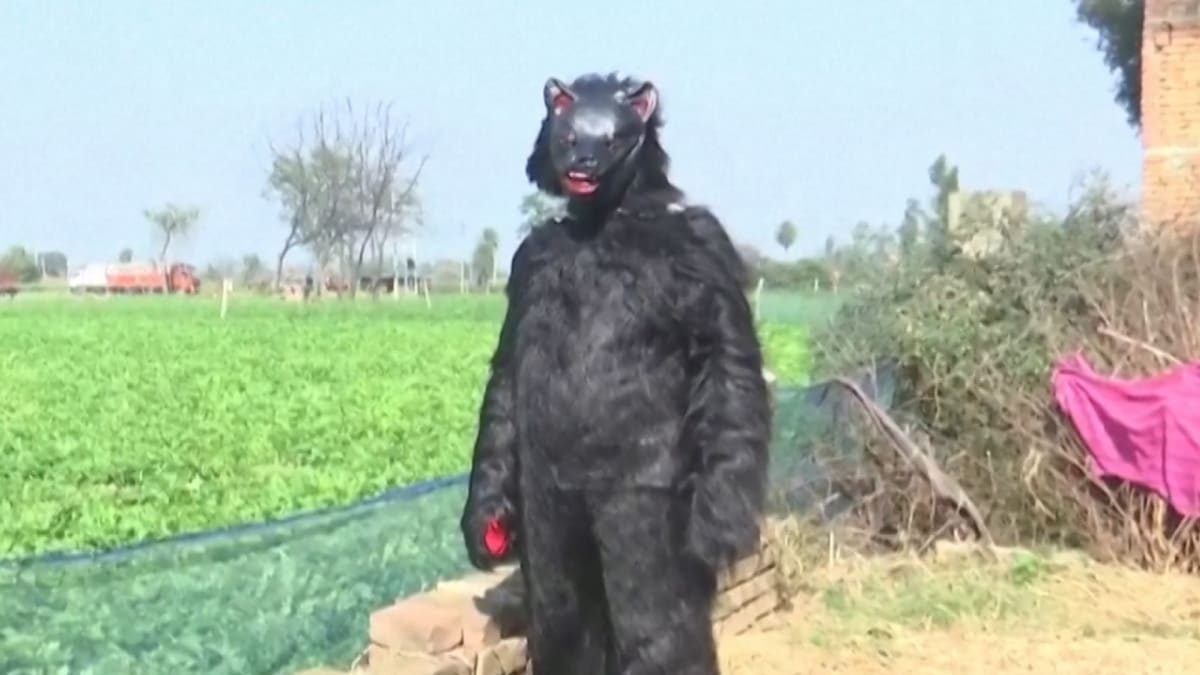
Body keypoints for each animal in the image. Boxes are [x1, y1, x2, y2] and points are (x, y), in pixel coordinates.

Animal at [460, 72, 772, 675]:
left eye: (608, 138)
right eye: (568, 136)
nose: (580, 161)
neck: (604, 221)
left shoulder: (704, 246)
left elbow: (725, 355)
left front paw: (719, 525)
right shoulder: (529, 262)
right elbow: (508, 374)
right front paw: (485, 520)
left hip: (636, 503)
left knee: (654, 619)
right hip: (548, 505)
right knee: (561, 610)